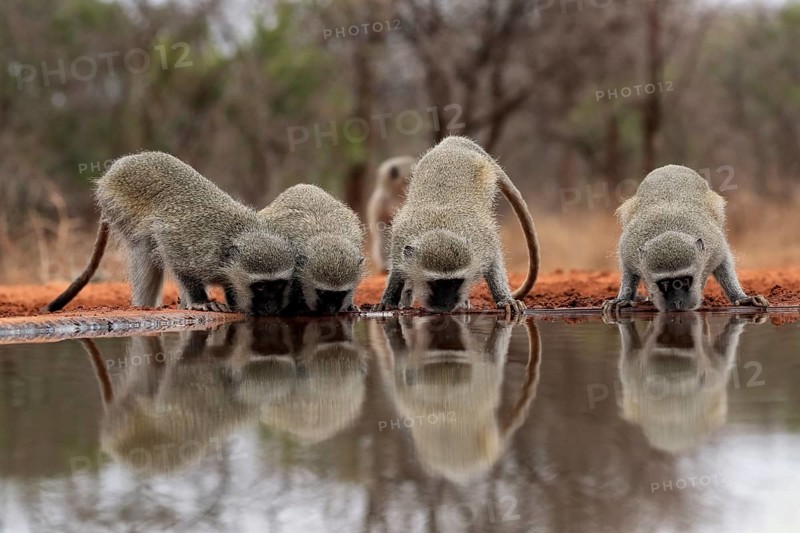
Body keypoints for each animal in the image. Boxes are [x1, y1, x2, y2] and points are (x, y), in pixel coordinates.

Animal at [44, 152, 295, 315]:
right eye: (261, 286)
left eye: (278, 286)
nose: (271, 306)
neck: (236, 235)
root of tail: (113, 171)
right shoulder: (191, 248)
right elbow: (175, 260)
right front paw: (201, 302)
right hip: (116, 203)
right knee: (145, 248)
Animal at [373, 136, 540, 316]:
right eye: (436, 283)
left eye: (456, 282)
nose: (446, 305)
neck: (440, 226)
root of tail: (454, 141)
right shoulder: (400, 240)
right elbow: (397, 271)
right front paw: (389, 300)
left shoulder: (484, 243)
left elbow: (493, 262)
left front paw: (505, 299)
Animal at [603, 165, 769, 317]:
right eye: (664, 284)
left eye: (684, 281)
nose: (677, 303)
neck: (669, 228)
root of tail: (670, 166)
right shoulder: (630, 248)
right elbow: (628, 268)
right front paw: (624, 299)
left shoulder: (713, 244)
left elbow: (723, 260)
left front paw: (740, 297)